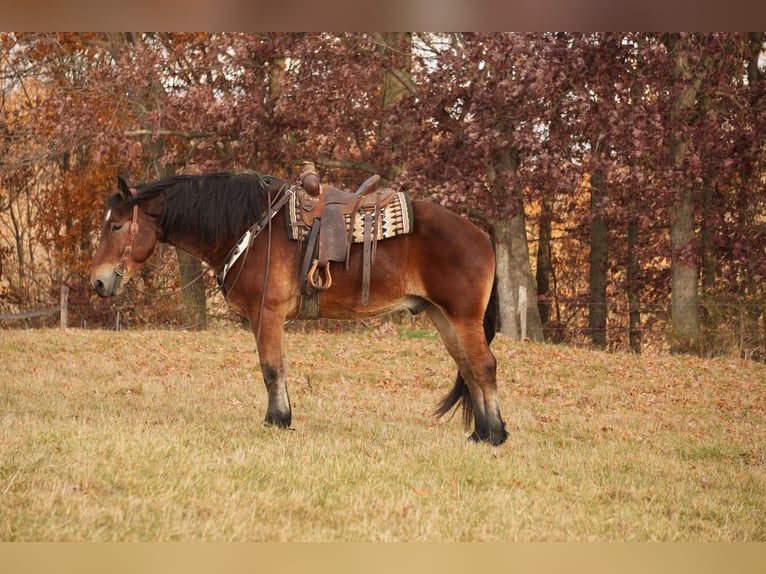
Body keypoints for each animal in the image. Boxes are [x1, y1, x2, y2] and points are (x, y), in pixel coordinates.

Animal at [91, 173, 510, 448]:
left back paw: (495, 434)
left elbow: (272, 369)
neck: (250, 229)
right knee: (468, 368)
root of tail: (481, 235)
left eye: (117, 226)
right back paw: (480, 432)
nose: (97, 282)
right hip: (443, 317)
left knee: (484, 366)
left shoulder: (267, 315)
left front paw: (276, 420)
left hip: (462, 317)